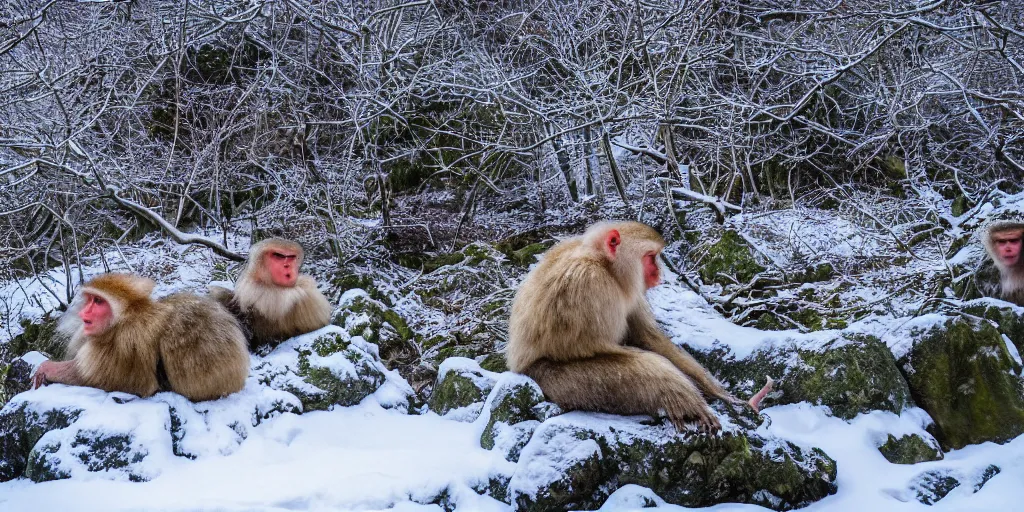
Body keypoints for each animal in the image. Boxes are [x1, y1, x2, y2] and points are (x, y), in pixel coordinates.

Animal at [33, 274, 249, 401]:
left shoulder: (125, 342)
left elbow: (97, 380)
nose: (85, 311)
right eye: (91, 299)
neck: (124, 317)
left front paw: (48, 368)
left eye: (98, 301)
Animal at [507, 220, 770, 432]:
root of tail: (518, 368)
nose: (658, 272)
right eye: (651, 257)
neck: (603, 264)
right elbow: (597, 349)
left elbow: (647, 336)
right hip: (551, 379)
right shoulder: (587, 285)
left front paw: (714, 389)